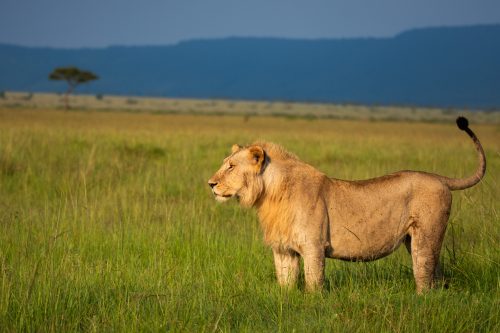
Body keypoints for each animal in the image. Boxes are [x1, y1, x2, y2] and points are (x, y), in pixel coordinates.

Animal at [206, 117, 484, 294]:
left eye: (231, 166)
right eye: (224, 163)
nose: (210, 184)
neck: (270, 194)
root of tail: (440, 178)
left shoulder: (314, 246)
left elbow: (314, 283)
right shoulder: (283, 249)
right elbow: (285, 284)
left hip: (426, 237)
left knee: (424, 273)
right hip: (416, 240)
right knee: (436, 273)